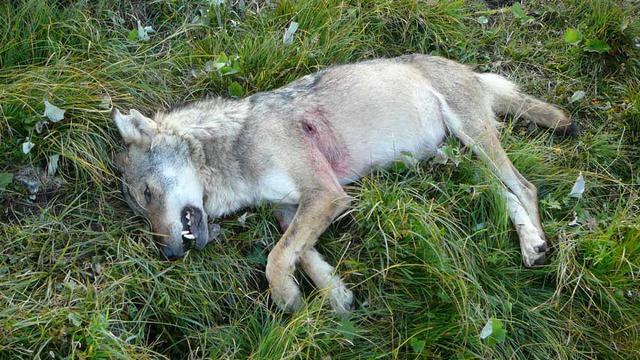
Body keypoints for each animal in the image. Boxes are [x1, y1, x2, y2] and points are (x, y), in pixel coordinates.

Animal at [114, 53, 576, 312]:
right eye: (141, 210)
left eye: (149, 195)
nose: (169, 254)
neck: (233, 149)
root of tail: (470, 71)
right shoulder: (291, 210)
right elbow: (302, 256)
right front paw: (336, 296)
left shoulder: (326, 194)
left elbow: (276, 258)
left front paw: (286, 298)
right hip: (458, 164)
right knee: (506, 194)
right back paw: (531, 244)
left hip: (475, 142)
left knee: (525, 187)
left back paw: (540, 248)